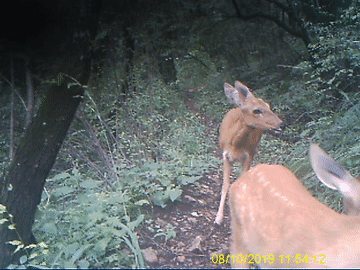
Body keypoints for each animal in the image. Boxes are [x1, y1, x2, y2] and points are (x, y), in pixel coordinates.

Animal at [214, 80, 284, 226]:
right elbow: (225, 185)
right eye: (257, 110)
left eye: (268, 106)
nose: (282, 125)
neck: (236, 145)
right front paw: (218, 218)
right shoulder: (225, 156)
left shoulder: (249, 156)